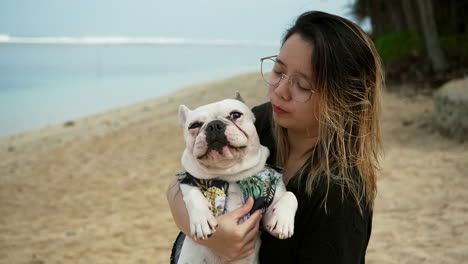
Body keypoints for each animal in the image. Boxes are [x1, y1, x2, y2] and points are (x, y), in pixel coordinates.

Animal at [174, 94, 298, 262]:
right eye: (194, 125)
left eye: (235, 115)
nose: (214, 125)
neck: (230, 174)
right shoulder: (189, 180)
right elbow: (192, 193)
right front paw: (201, 219)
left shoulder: (263, 214)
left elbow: (290, 195)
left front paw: (282, 220)